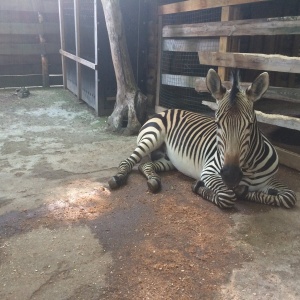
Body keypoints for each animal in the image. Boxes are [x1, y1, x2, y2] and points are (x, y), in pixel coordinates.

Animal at [107, 68, 296, 209]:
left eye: (249, 125)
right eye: (217, 124)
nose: (231, 175)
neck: (248, 168)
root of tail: (167, 109)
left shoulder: (271, 181)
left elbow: (289, 197)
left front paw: (247, 192)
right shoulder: (209, 171)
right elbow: (227, 196)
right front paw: (199, 187)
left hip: (169, 158)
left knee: (145, 165)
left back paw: (153, 180)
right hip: (151, 137)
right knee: (127, 162)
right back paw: (117, 178)